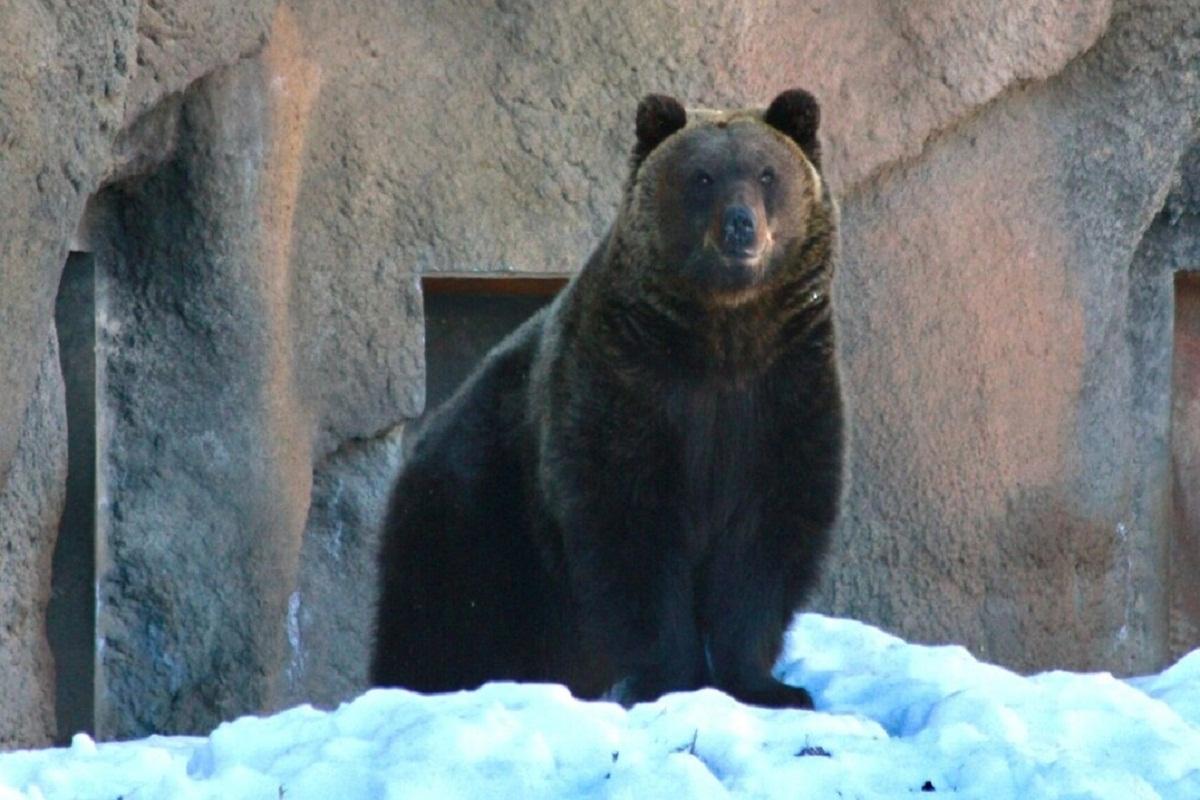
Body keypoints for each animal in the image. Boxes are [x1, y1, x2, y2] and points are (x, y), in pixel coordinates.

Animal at [369, 87, 840, 710]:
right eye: (702, 177)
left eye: (768, 173)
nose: (741, 227)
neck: (721, 336)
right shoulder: (625, 385)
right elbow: (630, 530)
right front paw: (671, 677)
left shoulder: (784, 393)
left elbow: (765, 539)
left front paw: (770, 686)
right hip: (475, 517)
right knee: (439, 620)